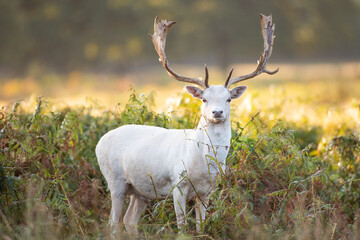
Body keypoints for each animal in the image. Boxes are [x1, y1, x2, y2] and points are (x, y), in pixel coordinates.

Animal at [96, 14, 278, 235]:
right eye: (204, 99)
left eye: (228, 99)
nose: (217, 112)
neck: (201, 164)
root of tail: (100, 140)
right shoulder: (178, 184)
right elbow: (182, 225)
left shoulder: (208, 191)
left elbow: (201, 226)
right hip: (115, 180)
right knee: (113, 222)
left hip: (141, 190)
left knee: (130, 219)